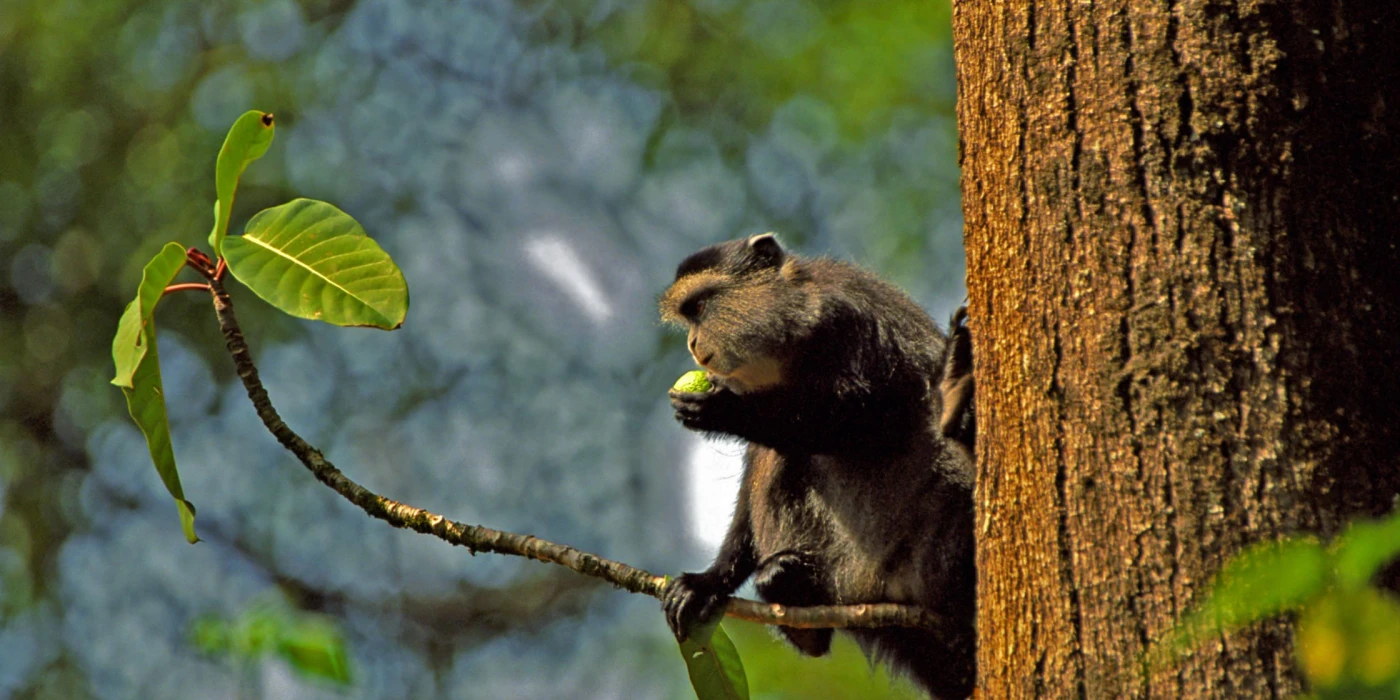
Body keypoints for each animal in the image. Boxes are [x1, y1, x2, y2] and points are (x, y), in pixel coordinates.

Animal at [658, 235, 974, 700]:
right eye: (688, 317)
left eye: (700, 306)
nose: (694, 344)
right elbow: (753, 483)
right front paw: (709, 582)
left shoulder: (846, 320)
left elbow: (872, 419)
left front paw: (725, 411)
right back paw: (797, 603)